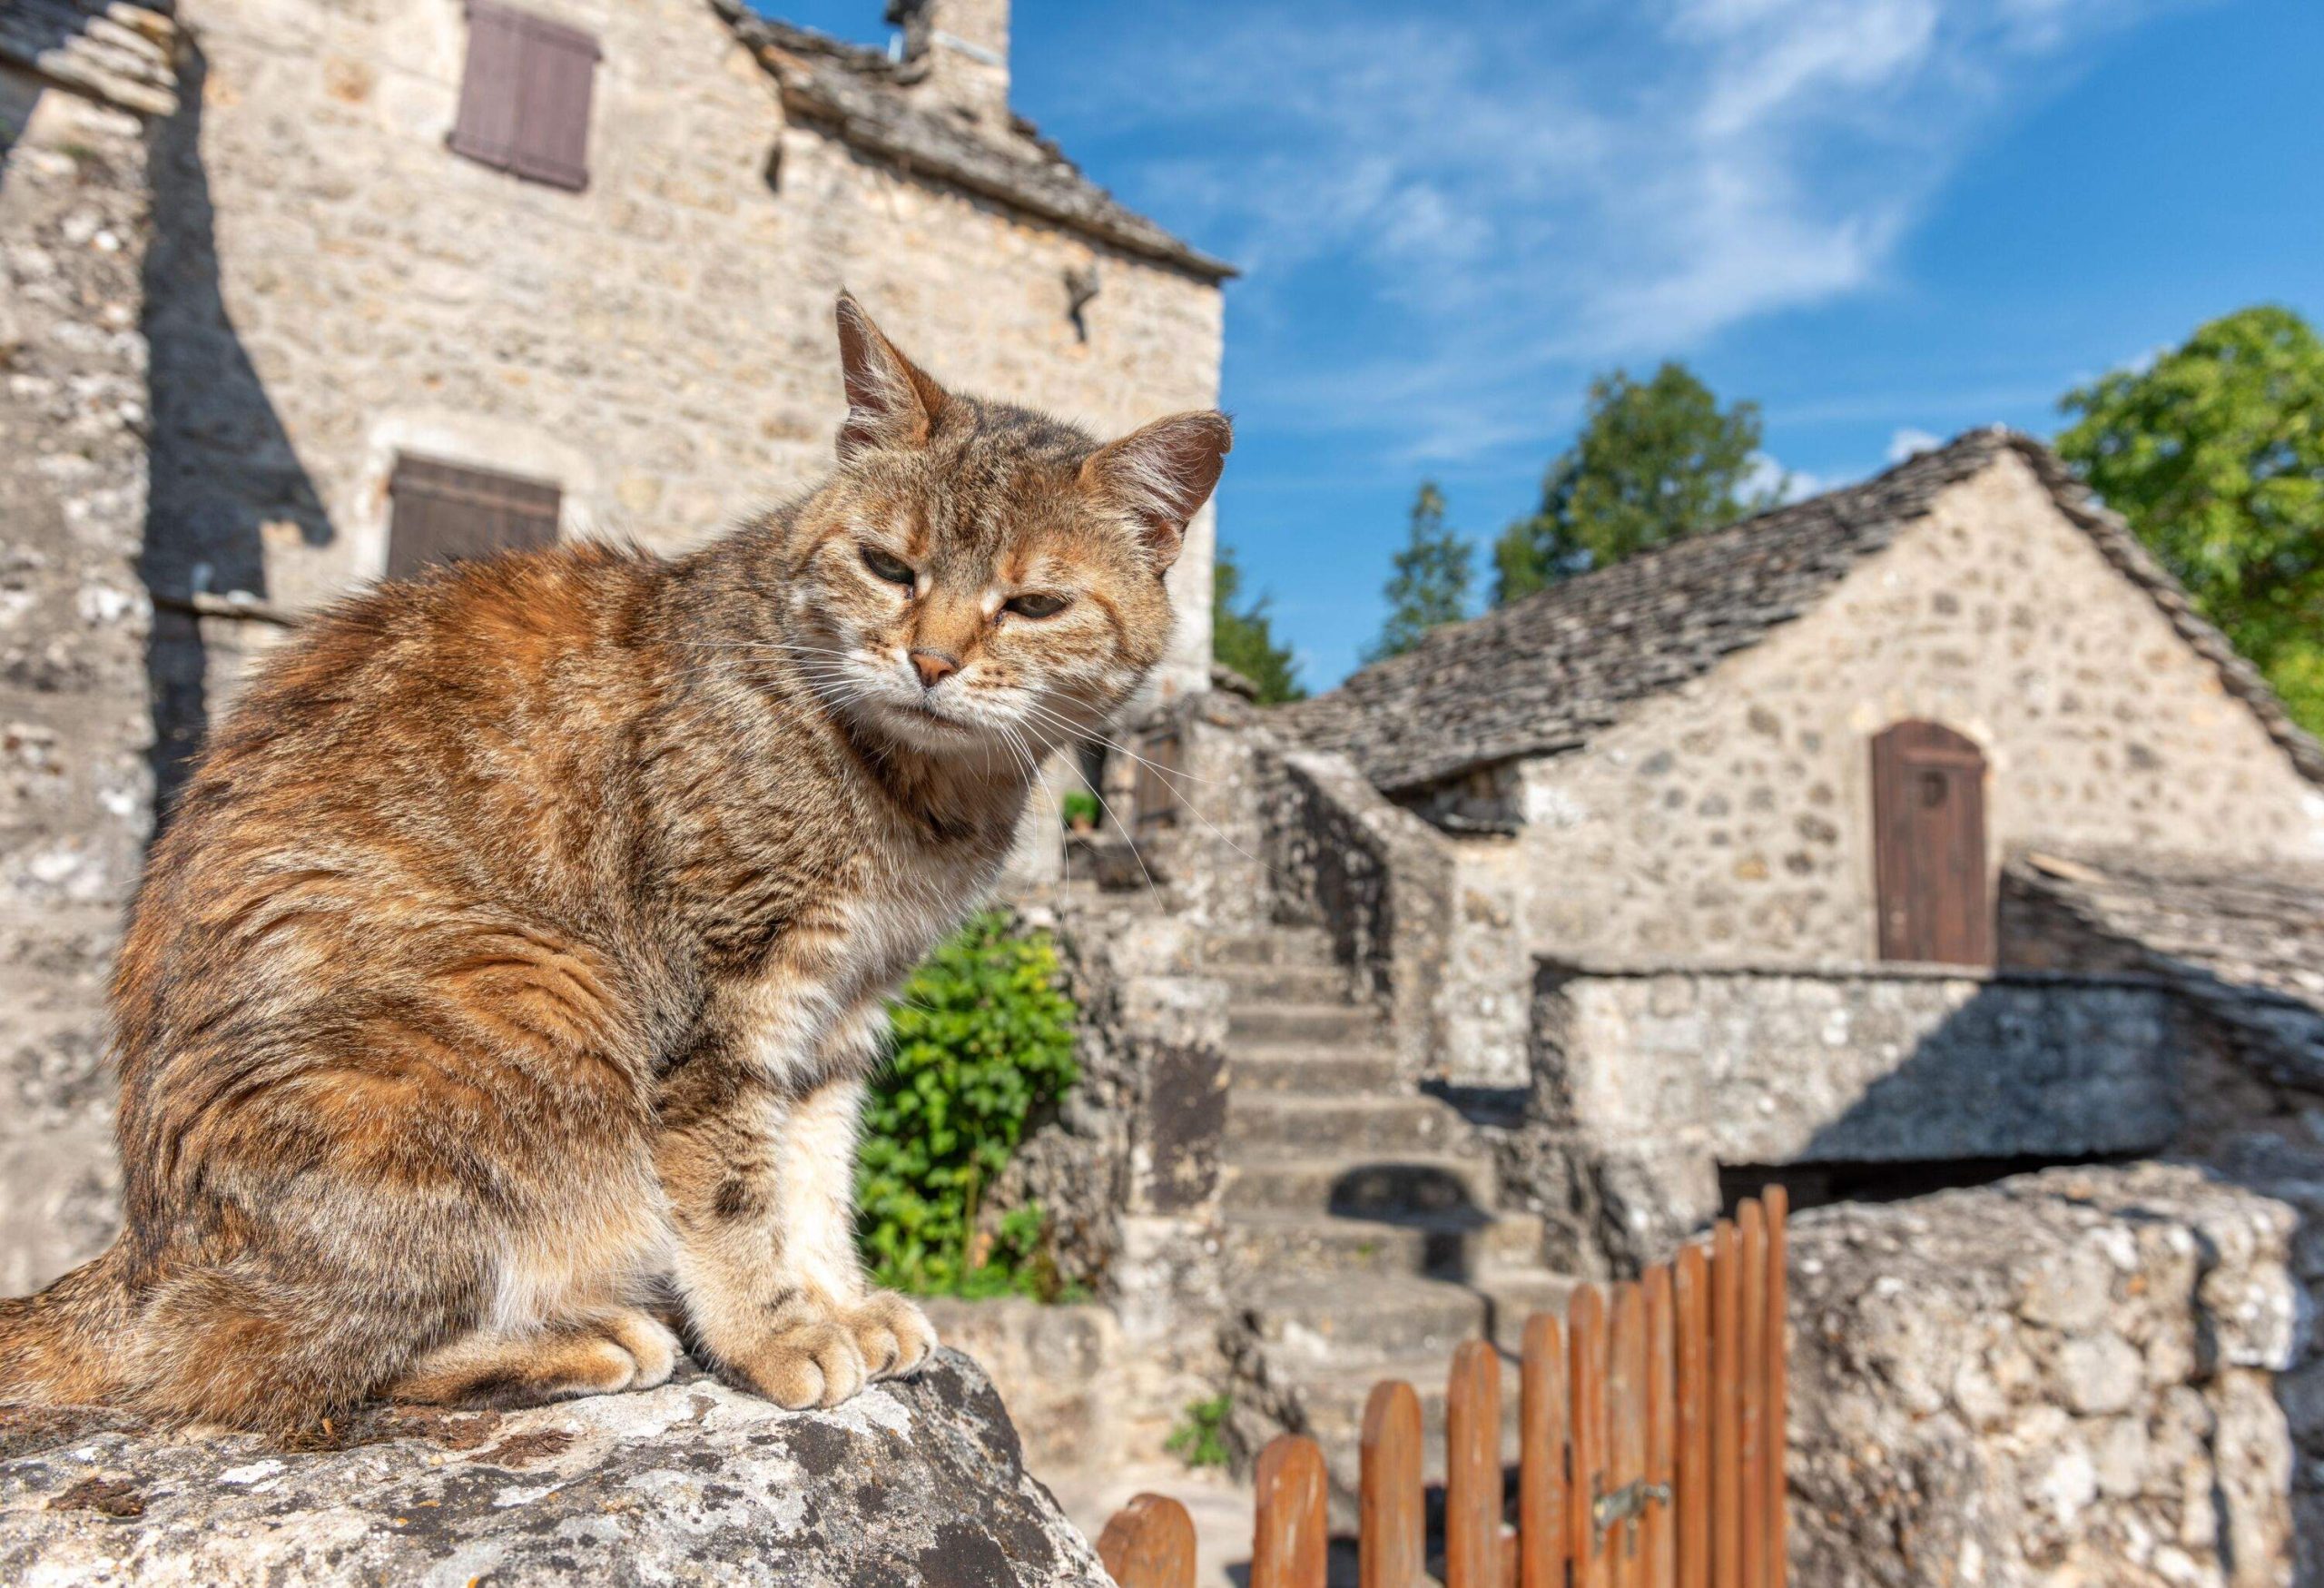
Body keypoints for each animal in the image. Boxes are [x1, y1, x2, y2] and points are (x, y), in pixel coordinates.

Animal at [0, 291, 1226, 1432]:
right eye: (889, 567)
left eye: (1034, 603)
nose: (929, 660)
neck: (923, 799)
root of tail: (142, 1257)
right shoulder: (721, 1004)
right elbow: (734, 1191)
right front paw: (780, 1332)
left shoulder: (843, 1005)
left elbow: (815, 1171)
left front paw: (838, 1297)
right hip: (536, 997)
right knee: (268, 1359)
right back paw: (574, 1334)